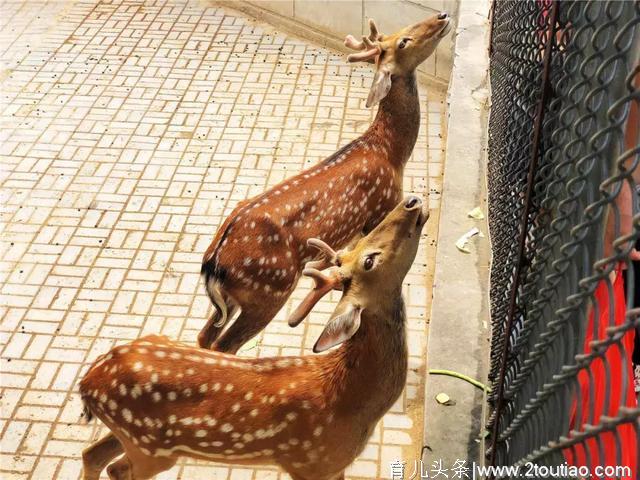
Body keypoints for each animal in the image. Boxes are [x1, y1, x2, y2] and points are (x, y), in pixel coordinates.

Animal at [81, 196, 430, 480]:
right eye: (369, 259)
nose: (412, 202)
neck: (351, 399)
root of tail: (87, 384)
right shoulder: (313, 462)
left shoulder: (335, 465)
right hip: (150, 449)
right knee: (117, 469)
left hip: (132, 435)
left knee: (92, 455)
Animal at [199, 13, 450, 352]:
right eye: (403, 41)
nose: (442, 16)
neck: (391, 151)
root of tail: (213, 266)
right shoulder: (379, 210)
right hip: (268, 291)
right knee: (224, 346)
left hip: (231, 300)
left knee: (204, 337)